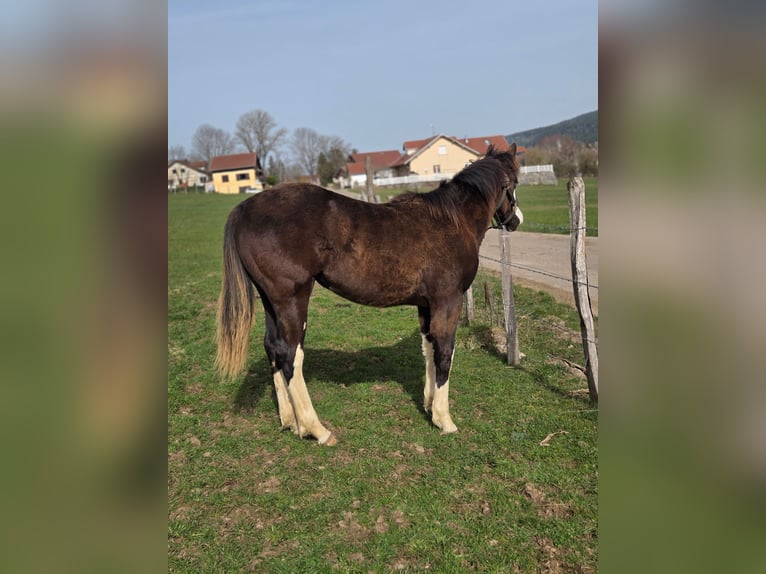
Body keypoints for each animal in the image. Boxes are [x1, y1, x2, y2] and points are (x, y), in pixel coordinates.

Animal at [215, 144, 523, 445]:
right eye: (515, 182)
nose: (516, 220)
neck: (451, 222)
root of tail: (243, 210)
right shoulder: (448, 301)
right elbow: (445, 352)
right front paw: (443, 419)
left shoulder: (427, 305)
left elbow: (428, 348)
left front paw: (428, 404)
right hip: (292, 301)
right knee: (289, 355)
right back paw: (316, 429)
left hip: (271, 302)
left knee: (272, 348)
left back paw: (291, 421)